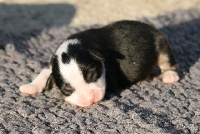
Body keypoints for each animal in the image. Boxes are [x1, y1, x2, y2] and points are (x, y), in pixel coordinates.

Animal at [19, 20, 180, 107]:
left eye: (92, 75)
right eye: (67, 89)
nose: (90, 100)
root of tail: (152, 27)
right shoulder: (53, 65)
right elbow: (45, 72)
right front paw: (30, 86)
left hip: (160, 43)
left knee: (168, 61)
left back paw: (170, 76)